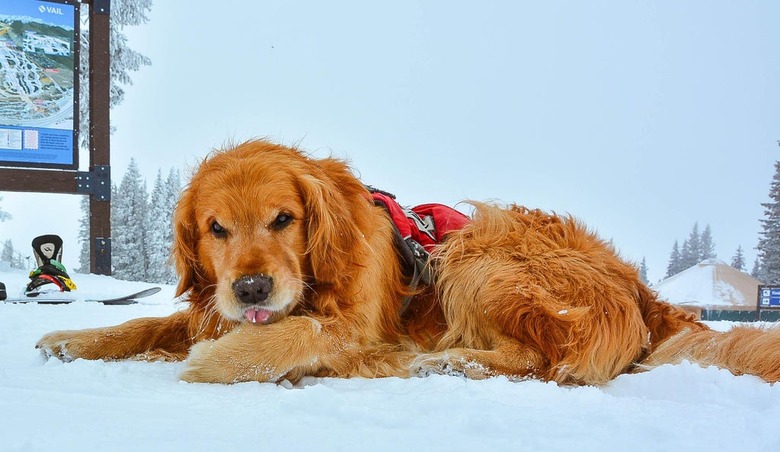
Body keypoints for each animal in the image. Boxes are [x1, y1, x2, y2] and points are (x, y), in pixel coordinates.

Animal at [35, 139, 780, 384]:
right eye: (216, 228)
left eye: (283, 219)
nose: (249, 287)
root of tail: (646, 292)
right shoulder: (210, 308)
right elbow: (145, 325)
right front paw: (72, 339)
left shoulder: (357, 330)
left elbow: (288, 335)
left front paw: (217, 362)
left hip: (479, 255)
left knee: (550, 359)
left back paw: (453, 362)